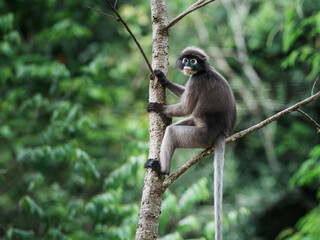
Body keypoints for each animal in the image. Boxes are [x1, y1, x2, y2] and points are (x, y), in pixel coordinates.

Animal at [144, 47, 236, 240]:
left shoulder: (196, 81)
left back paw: (162, 170)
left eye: (193, 61)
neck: (204, 71)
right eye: (186, 60)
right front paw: (162, 79)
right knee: (178, 124)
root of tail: (221, 134)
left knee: (172, 133)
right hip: (197, 127)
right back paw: (167, 120)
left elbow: (186, 106)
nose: (188, 65)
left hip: (200, 136)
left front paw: (157, 107)